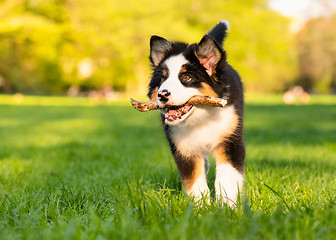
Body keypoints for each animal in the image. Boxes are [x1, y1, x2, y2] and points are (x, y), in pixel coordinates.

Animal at [147, 20, 244, 207]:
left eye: (186, 78)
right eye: (162, 79)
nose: (162, 94)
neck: (201, 118)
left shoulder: (230, 139)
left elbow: (226, 178)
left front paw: (226, 207)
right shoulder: (183, 147)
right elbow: (193, 180)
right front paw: (201, 208)